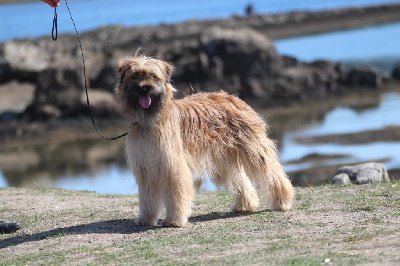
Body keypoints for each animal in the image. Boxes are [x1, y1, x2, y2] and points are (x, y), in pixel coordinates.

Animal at [115, 53, 294, 227]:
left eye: (153, 76)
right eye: (135, 76)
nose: (144, 88)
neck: (151, 119)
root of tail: (234, 98)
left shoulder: (172, 166)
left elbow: (176, 194)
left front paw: (174, 220)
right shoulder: (146, 167)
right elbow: (148, 197)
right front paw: (146, 218)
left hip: (252, 149)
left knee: (272, 173)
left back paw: (283, 201)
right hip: (224, 158)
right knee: (240, 178)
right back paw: (244, 205)